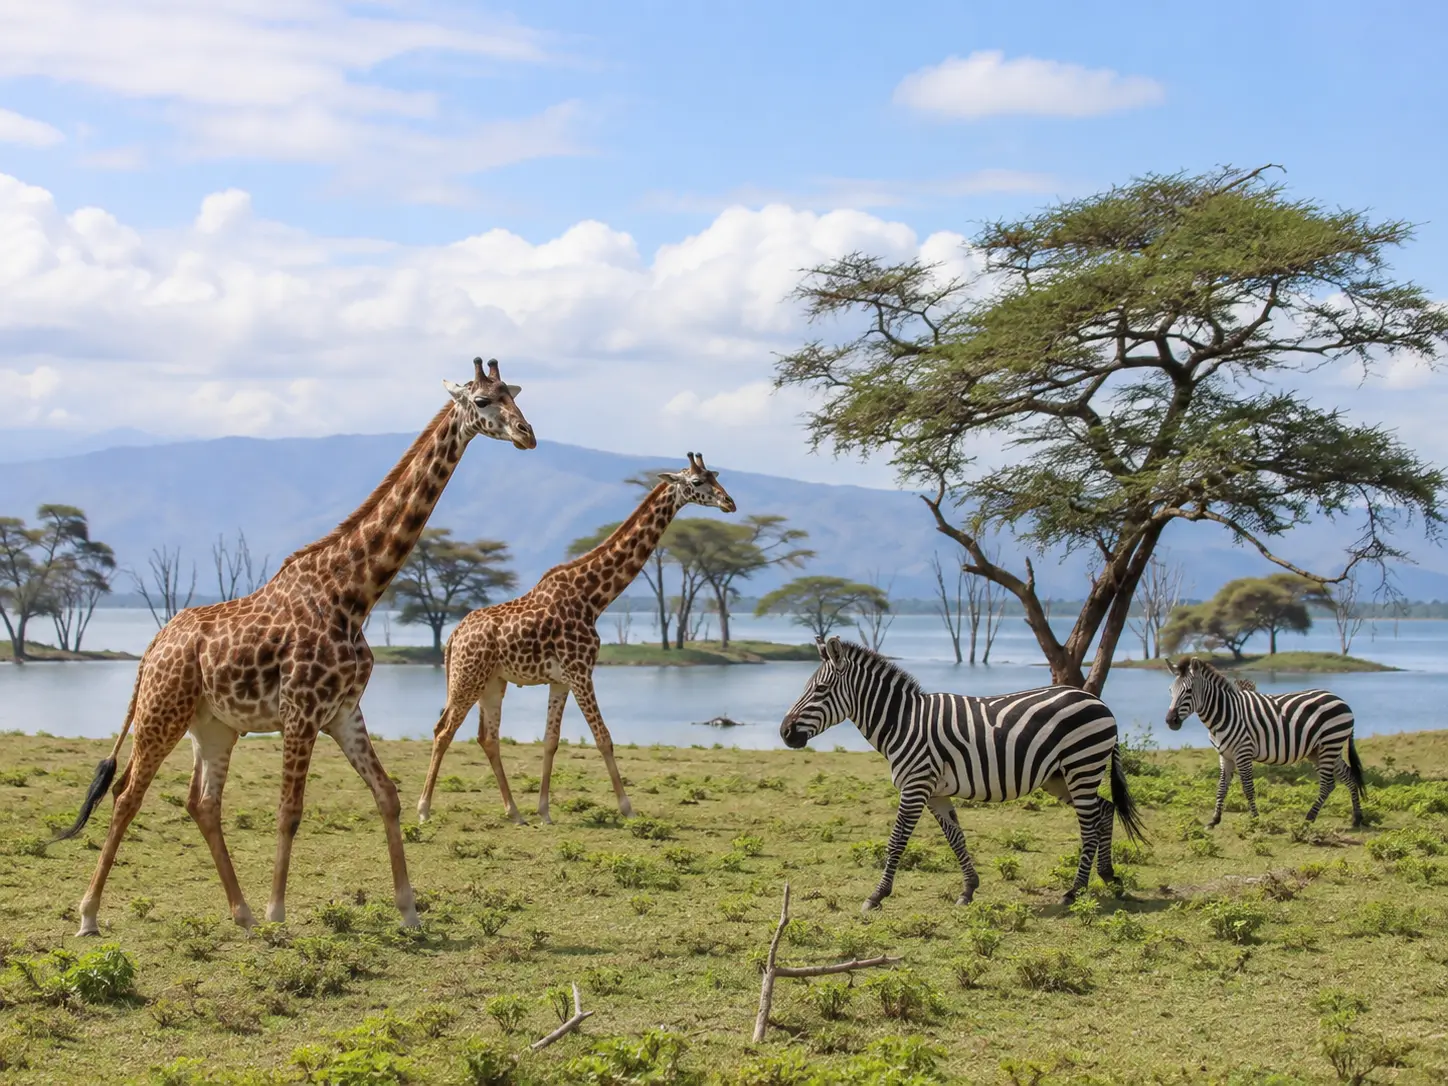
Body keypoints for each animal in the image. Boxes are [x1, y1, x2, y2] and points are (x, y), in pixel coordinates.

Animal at [53, 358, 536, 936]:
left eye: (515, 395)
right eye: (483, 401)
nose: (527, 434)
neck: (353, 595)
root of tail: (151, 648)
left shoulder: (344, 711)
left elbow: (387, 796)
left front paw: (409, 911)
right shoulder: (301, 712)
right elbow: (290, 811)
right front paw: (278, 912)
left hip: (214, 726)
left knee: (203, 803)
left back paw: (239, 913)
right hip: (161, 712)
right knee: (128, 795)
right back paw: (88, 915)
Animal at [415, 452, 736, 825]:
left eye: (716, 476)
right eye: (697, 482)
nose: (729, 502)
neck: (593, 598)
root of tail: (453, 635)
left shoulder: (562, 679)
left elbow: (550, 739)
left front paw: (543, 811)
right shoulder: (582, 672)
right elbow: (603, 737)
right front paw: (627, 808)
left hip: (493, 682)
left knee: (488, 737)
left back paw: (515, 813)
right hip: (467, 678)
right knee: (443, 730)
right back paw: (423, 809)